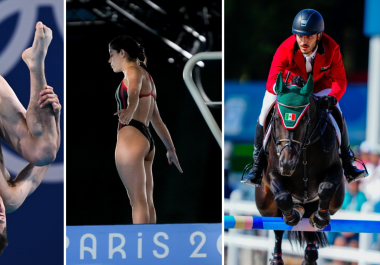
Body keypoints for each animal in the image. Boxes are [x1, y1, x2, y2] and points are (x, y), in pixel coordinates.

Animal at [255, 72, 344, 264]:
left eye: (304, 119)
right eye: (276, 118)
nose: (287, 164)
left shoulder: (336, 169)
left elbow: (326, 187)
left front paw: (320, 219)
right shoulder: (273, 173)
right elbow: (282, 197)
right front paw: (291, 216)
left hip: (333, 201)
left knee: (310, 218)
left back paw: (310, 252)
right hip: (265, 205)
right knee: (278, 227)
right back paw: (277, 257)